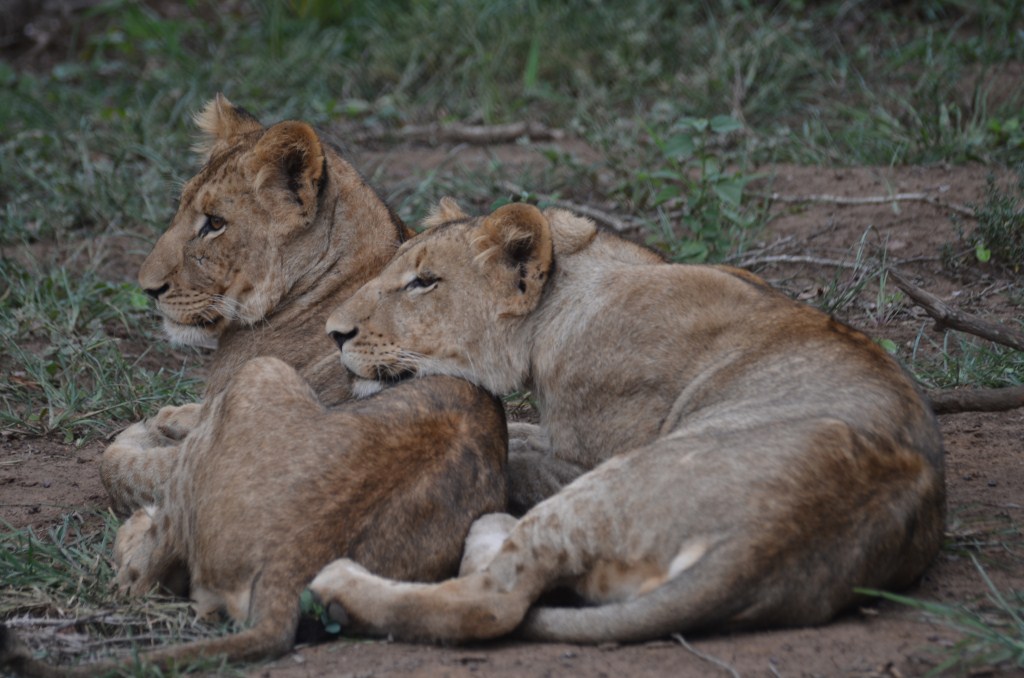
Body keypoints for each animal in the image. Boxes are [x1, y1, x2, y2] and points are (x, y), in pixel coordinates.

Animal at [101, 94, 412, 515]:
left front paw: (144, 431)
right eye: (180, 209)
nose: (147, 288)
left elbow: (118, 468)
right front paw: (171, 417)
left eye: (215, 223)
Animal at [308, 200, 946, 643]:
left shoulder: (588, 456)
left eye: (424, 282)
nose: (334, 333)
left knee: (493, 601)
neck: (562, 300)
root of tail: (770, 543)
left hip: (616, 479)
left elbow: (519, 454)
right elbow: (523, 434)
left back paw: (352, 583)